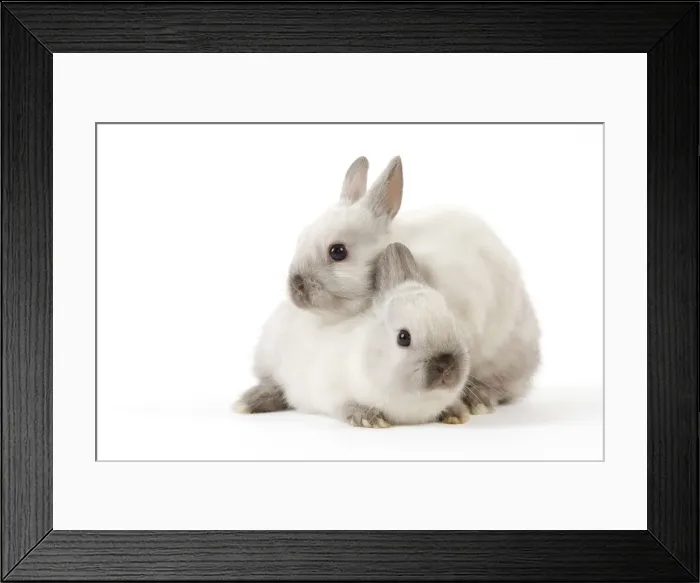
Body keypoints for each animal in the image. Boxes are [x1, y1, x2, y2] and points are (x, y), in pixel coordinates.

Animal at [234, 243, 472, 428]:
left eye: (453, 325)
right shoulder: (332, 391)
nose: (446, 364)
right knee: (273, 387)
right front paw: (368, 419)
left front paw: (457, 414)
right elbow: (346, 405)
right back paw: (246, 404)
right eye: (403, 337)